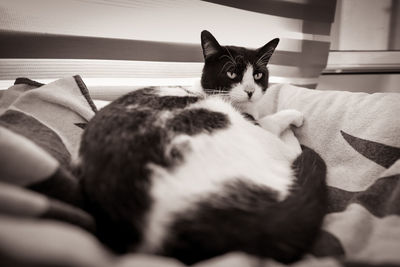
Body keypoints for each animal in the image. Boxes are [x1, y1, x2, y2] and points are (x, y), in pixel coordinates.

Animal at [78, 30, 328, 264]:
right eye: (231, 72)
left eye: (258, 74)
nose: (250, 91)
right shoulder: (255, 124)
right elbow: (272, 122)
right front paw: (294, 117)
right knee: (291, 152)